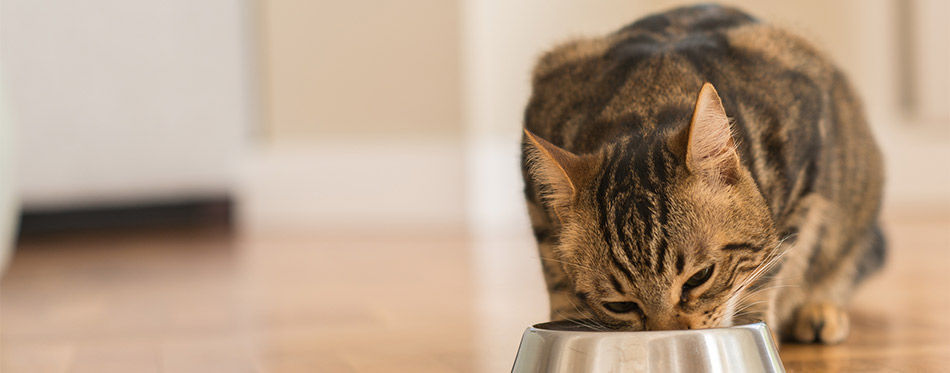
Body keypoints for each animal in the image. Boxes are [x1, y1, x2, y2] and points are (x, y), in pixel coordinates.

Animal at [520, 5, 884, 342]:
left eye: (700, 277)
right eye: (619, 305)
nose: (666, 333)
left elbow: (770, 273)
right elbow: (557, 279)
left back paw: (820, 310)